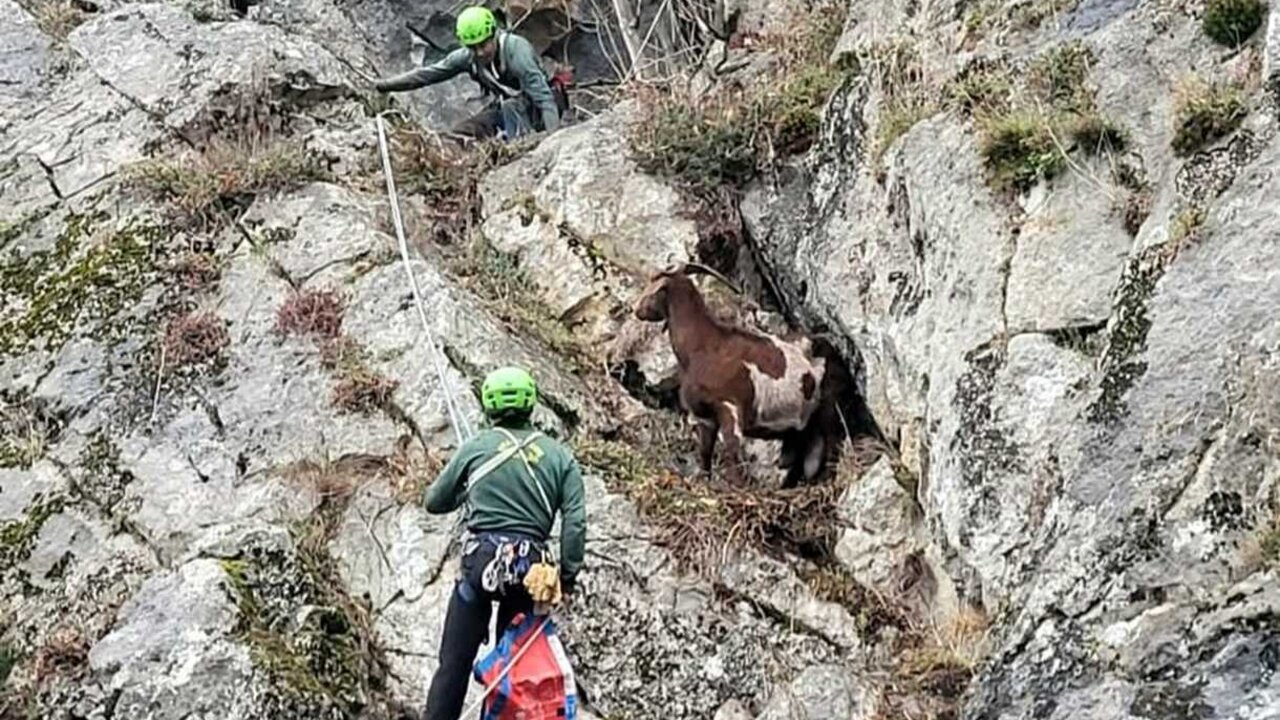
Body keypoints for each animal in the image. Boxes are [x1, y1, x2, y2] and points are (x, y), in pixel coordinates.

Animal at [632, 260, 834, 484]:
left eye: (655, 289)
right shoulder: (706, 417)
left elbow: (732, 456)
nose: (636, 309)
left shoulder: (729, 408)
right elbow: (705, 453)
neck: (701, 347)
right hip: (796, 431)